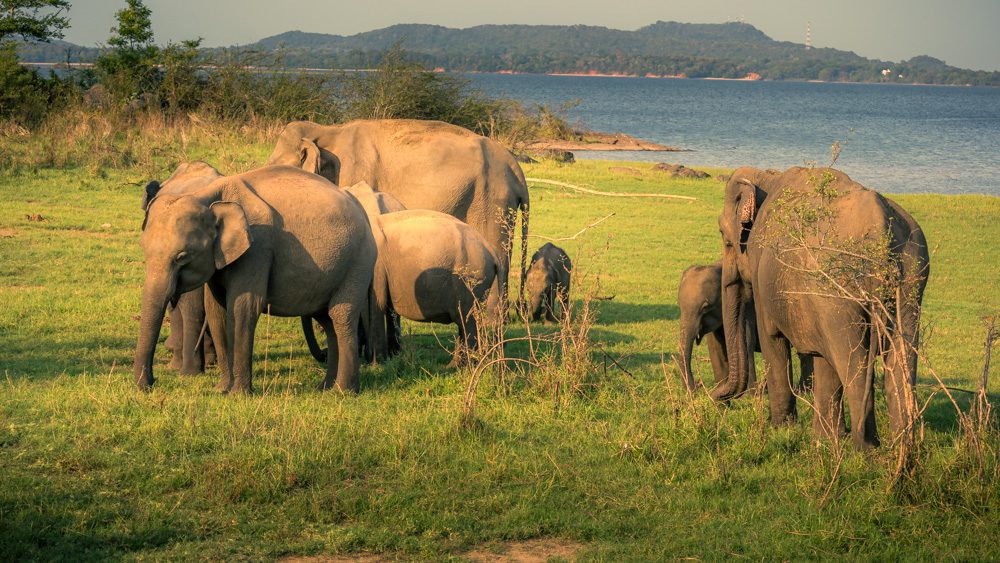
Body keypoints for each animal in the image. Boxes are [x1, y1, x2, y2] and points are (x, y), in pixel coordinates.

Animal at [266, 120, 529, 307]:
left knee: (498, 251)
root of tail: (516, 170)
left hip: (491, 198)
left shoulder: (353, 171)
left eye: (275, 166)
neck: (327, 130)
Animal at [676, 261, 813, 393]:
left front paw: (749, 394)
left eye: (705, 307)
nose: (697, 386)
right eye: (679, 306)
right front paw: (724, 389)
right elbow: (715, 348)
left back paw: (802, 391)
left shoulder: (748, 307)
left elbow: (746, 341)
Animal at [714, 166, 929, 449]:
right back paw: (903, 446)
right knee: (901, 361)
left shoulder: (763, 278)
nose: (717, 398)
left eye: (724, 237)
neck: (768, 177)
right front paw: (826, 440)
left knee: (853, 364)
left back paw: (866, 448)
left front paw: (781, 430)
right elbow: (822, 358)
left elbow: (772, 339)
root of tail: (880, 225)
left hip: (837, 292)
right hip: (910, 282)